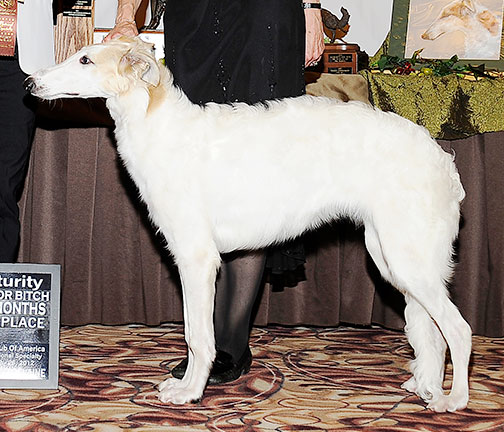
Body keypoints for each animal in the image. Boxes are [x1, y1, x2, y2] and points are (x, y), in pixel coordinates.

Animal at [24, 37, 472, 412]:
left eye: (85, 60)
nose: (30, 82)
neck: (159, 123)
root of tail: (443, 160)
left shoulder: (197, 258)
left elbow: (197, 336)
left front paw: (190, 391)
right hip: (393, 258)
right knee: (431, 333)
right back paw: (425, 386)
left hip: (409, 258)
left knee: (458, 329)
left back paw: (454, 400)